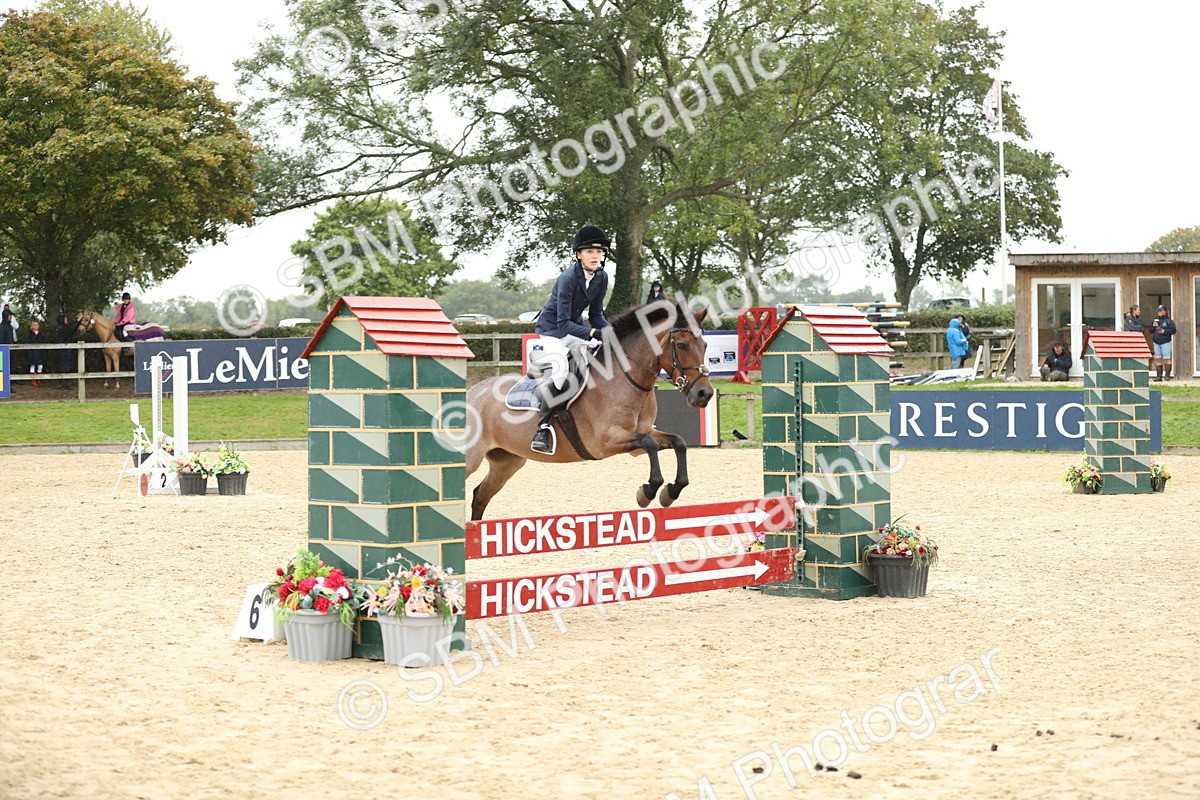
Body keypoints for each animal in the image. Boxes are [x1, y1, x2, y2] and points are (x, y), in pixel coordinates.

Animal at [464, 301, 714, 520]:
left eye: (705, 346)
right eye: (681, 345)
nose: (705, 394)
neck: (626, 379)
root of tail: (472, 393)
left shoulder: (639, 439)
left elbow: (678, 442)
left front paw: (670, 492)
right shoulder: (606, 441)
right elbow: (651, 444)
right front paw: (647, 492)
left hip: (507, 463)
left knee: (480, 496)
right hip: (471, 459)